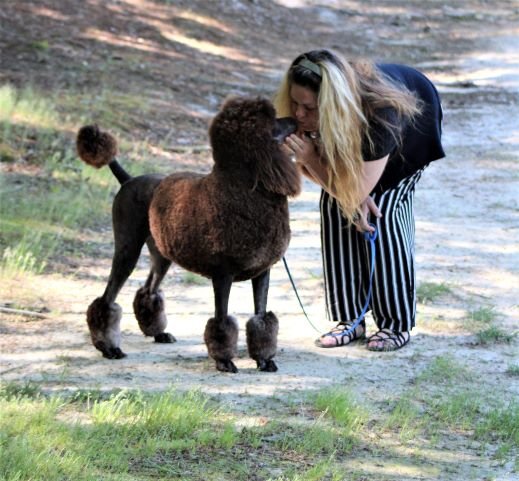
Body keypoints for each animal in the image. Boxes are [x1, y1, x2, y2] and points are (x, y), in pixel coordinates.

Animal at [76, 96, 300, 372]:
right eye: (273, 121)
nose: (296, 120)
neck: (243, 189)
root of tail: (127, 180)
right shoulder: (223, 274)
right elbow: (221, 321)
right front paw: (224, 361)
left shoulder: (262, 271)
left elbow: (261, 317)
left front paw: (264, 359)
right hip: (127, 247)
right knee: (107, 299)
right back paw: (109, 348)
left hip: (161, 252)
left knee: (148, 290)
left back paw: (158, 333)